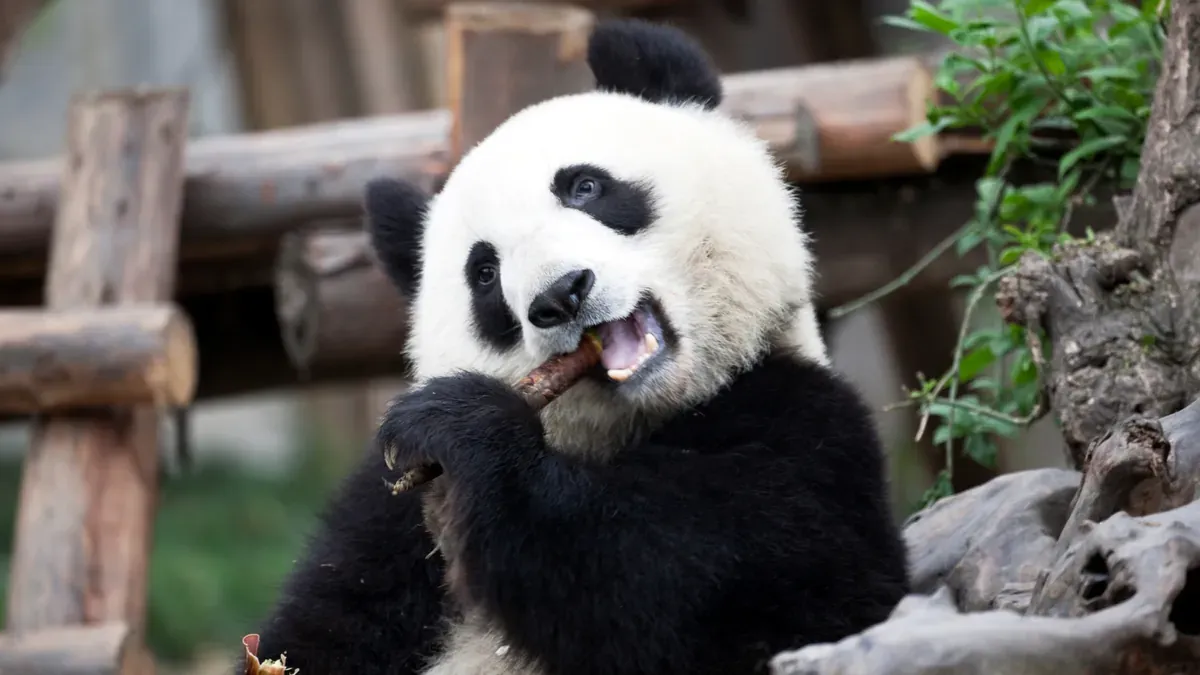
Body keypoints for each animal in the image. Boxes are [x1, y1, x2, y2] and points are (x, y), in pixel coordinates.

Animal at [249, 18, 910, 675]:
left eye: (586, 186)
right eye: (484, 273)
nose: (560, 295)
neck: (628, 427)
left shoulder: (804, 427)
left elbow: (698, 584)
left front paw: (467, 428)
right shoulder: (389, 517)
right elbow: (325, 625)